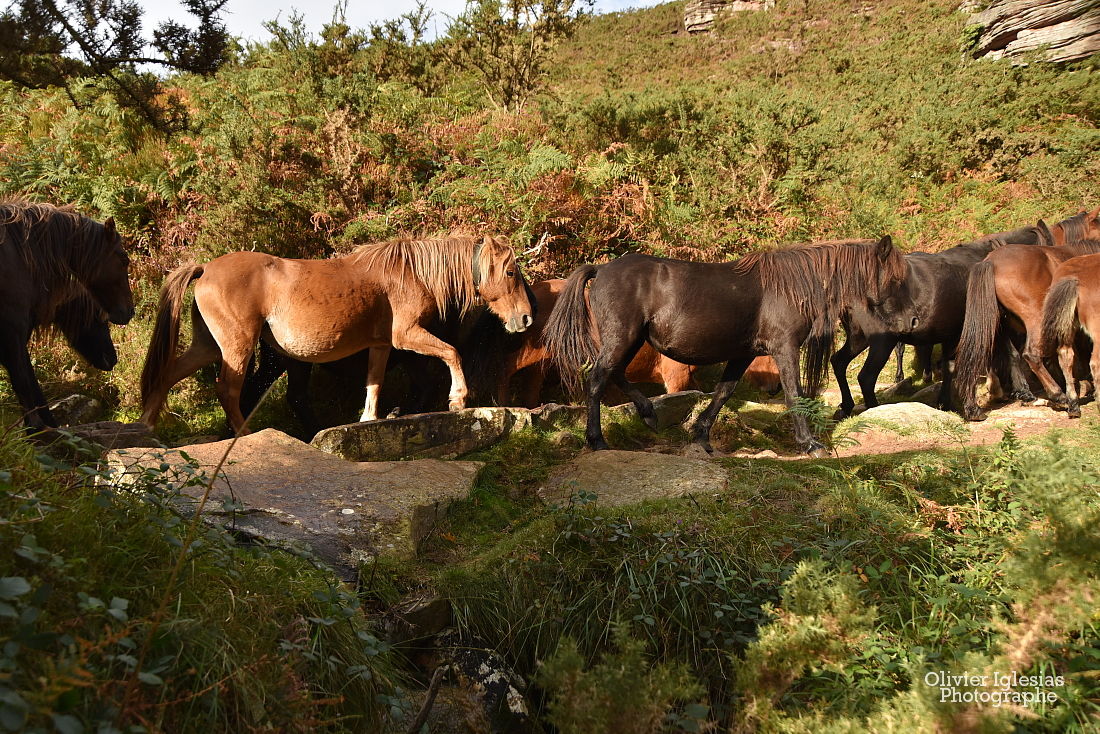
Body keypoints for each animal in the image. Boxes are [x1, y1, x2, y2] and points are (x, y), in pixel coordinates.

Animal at [0, 201, 133, 431]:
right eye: (124, 259)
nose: (129, 311)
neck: (18, 257)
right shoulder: (13, 334)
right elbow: (23, 382)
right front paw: (36, 427)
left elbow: (29, 382)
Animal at [139, 234, 534, 435]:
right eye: (511, 272)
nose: (526, 318)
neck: (410, 272)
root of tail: (205, 268)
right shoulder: (407, 336)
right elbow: (452, 353)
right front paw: (458, 399)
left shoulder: (382, 345)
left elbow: (374, 383)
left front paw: (369, 420)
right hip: (238, 347)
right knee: (229, 389)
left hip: (208, 345)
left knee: (168, 374)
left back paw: (148, 428)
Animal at [545, 238, 906, 455]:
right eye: (896, 279)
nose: (907, 324)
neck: (792, 286)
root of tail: (602, 268)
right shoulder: (784, 348)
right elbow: (795, 396)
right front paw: (809, 444)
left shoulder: (742, 354)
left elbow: (723, 392)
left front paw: (701, 435)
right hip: (623, 337)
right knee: (597, 380)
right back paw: (597, 440)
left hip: (631, 340)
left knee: (615, 373)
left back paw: (648, 414)